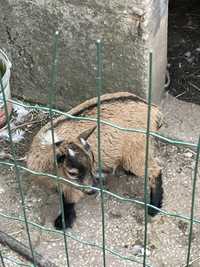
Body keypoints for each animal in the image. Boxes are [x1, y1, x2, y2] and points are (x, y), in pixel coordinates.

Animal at [27, 92, 164, 230]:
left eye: (92, 162)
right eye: (72, 172)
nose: (94, 190)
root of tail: (154, 110)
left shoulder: (72, 187)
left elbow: (68, 200)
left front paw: (63, 221)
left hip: (136, 151)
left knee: (155, 171)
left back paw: (154, 208)